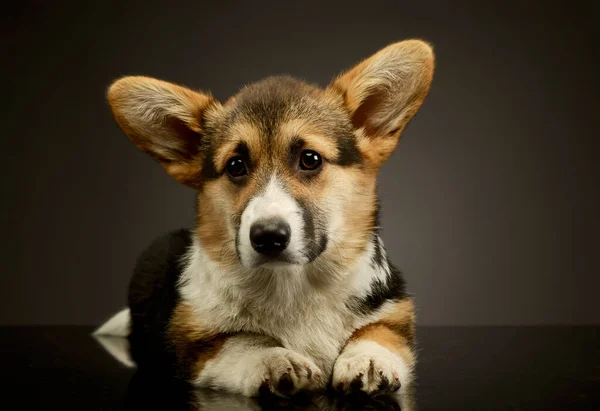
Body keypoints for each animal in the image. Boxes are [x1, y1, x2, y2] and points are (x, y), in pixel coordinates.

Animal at [94, 40, 434, 404]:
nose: (268, 237)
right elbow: (242, 341)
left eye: (310, 159)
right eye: (236, 166)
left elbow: (378, 333)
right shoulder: (194, 345)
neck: (293, 285)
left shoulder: (395, 313)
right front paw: (276, 360)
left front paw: (368, 359)